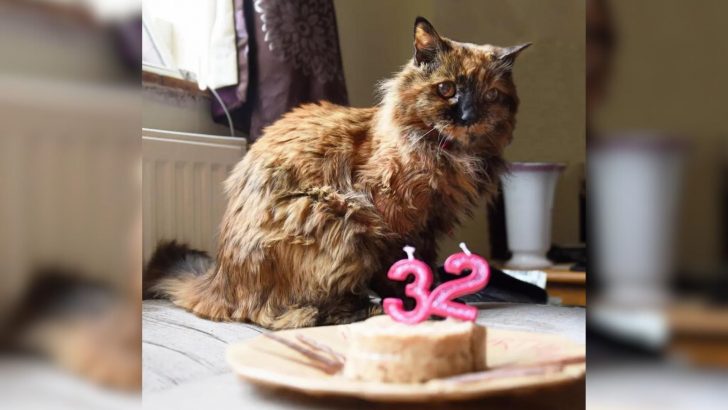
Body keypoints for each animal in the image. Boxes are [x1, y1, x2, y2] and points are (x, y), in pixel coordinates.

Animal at [145, 17, 528, 330]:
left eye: (489, 96)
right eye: (446, 89)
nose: (468, 116)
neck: (449, 155)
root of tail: (218, 279)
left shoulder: (430, 226)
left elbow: (425, 265)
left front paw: (437, 295)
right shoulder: (392, 217)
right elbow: (398, 269)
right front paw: (413, 302)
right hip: (341, 214)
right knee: (280, 316)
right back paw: (364, 307)